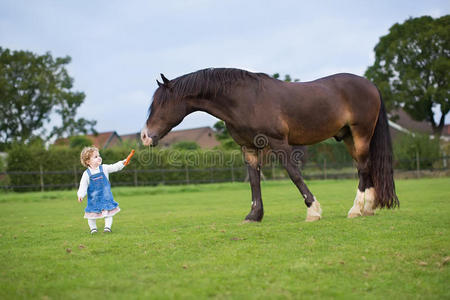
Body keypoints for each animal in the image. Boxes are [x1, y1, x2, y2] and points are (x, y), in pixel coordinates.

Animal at [141, 68, 398, 223]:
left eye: (162, 104)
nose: (144, 136)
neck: (246, 100)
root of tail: (370, 85)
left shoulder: (278, 142)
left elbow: (294, 174)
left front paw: (313, 210)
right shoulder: (248, 148)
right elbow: (254, 180)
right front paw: (254, 215)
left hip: (360, 134)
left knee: (363, 168)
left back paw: (356, 209)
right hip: (348, 137)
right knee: (365, 167)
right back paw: (368, 208)